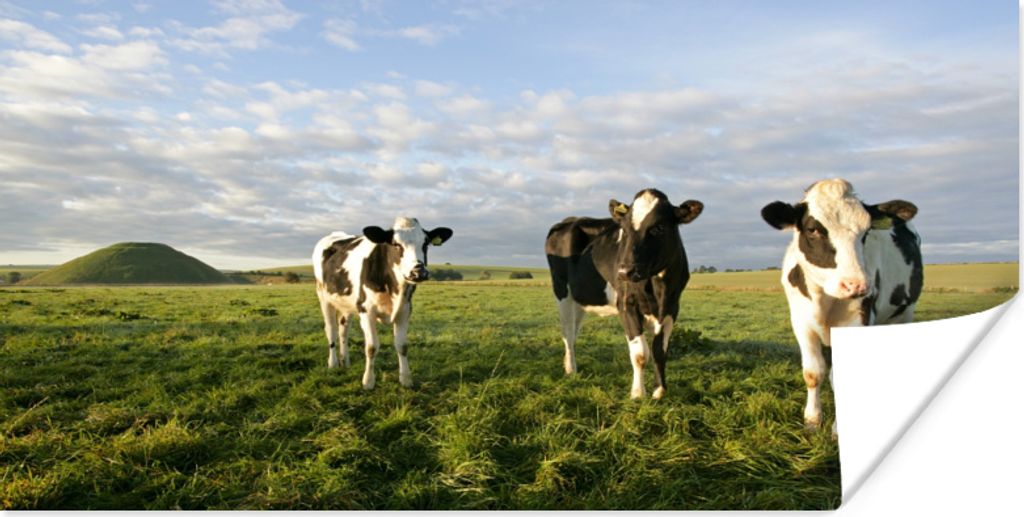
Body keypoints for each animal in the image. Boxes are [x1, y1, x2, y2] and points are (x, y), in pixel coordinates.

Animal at [312, 217, 453, 390]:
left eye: (425, 243)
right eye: (396, 244)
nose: (418, 272)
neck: (394, 288)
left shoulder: (405, 311)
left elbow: (402, 346)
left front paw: (406, 379)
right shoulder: (366, 311)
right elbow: (372, 347)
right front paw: (368, 381)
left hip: (348, 304)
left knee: (343, 329)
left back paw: (345, 361)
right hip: (323, 297)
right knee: (331, 330)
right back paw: (332, 363)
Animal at [545, 188, 704, 399]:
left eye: (659, 227)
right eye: (625, 230)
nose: (624, 272)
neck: (657, 289)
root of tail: (570, 219)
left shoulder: (671, 307)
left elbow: (659, 351)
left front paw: (659, 391)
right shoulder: (627, 304)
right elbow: (640, 353)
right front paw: (637, 394)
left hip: (580, 300)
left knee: (574, 330)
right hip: (562, 291)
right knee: (568, 332)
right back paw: (571, 369)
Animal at [761, 178, 922, 434]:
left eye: (866, 232)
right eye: (813, 229)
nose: (856, 285)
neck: (823, 299)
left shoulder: (859, 320)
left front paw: (839, 429)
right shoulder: (801, 323)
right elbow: (813, 372)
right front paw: (812, 420)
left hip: (905, 313)